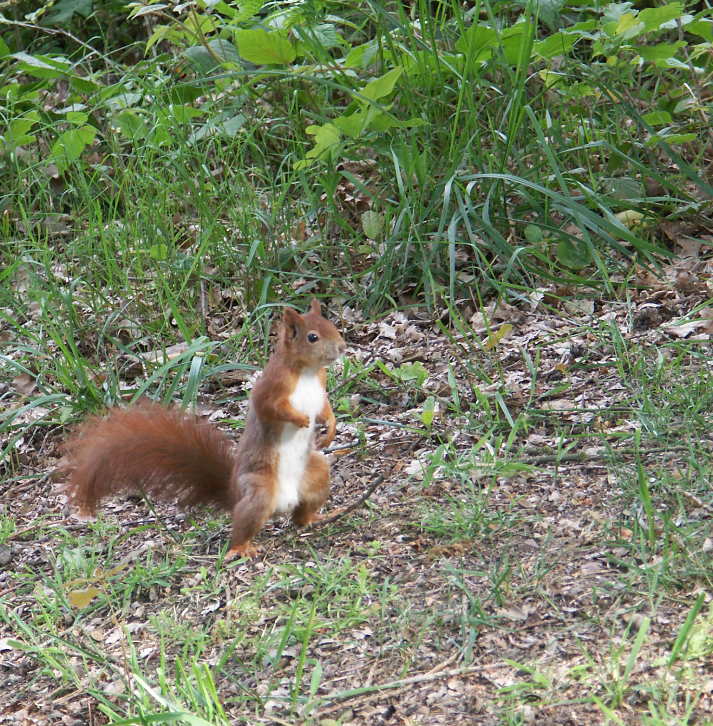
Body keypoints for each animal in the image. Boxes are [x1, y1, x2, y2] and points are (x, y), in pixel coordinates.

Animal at [62, 298, 346, 560]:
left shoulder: (320, 386)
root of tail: (235, 494)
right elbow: (271, 409)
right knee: (242, 527)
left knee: (300, 515)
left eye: (332, 325)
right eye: (312, 337)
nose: (343, 347)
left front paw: (329, 427)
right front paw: (300, 419)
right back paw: (241, 548)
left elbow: (325, 408)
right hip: (260, 491)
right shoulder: (272, 387)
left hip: (316, 474)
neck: (307, 372)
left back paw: (315, 517)